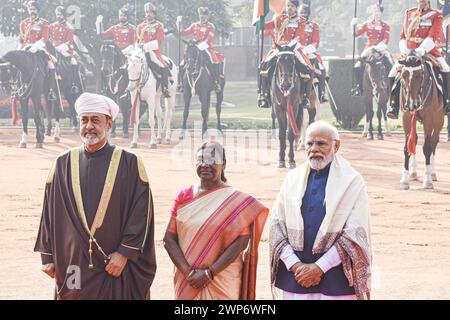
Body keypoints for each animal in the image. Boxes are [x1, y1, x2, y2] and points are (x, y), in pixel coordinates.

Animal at [398, 53, 442, 190]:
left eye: (418, 76)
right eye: (403, 75)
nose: (411, 104)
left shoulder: (429, 118)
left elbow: (427, 147)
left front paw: (427, 180)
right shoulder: (406, 117)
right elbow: (407, 147)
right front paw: (405, 180)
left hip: (439, 120)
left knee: (434, 141)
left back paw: (432, 173)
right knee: (416, 140)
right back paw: (413, 173)